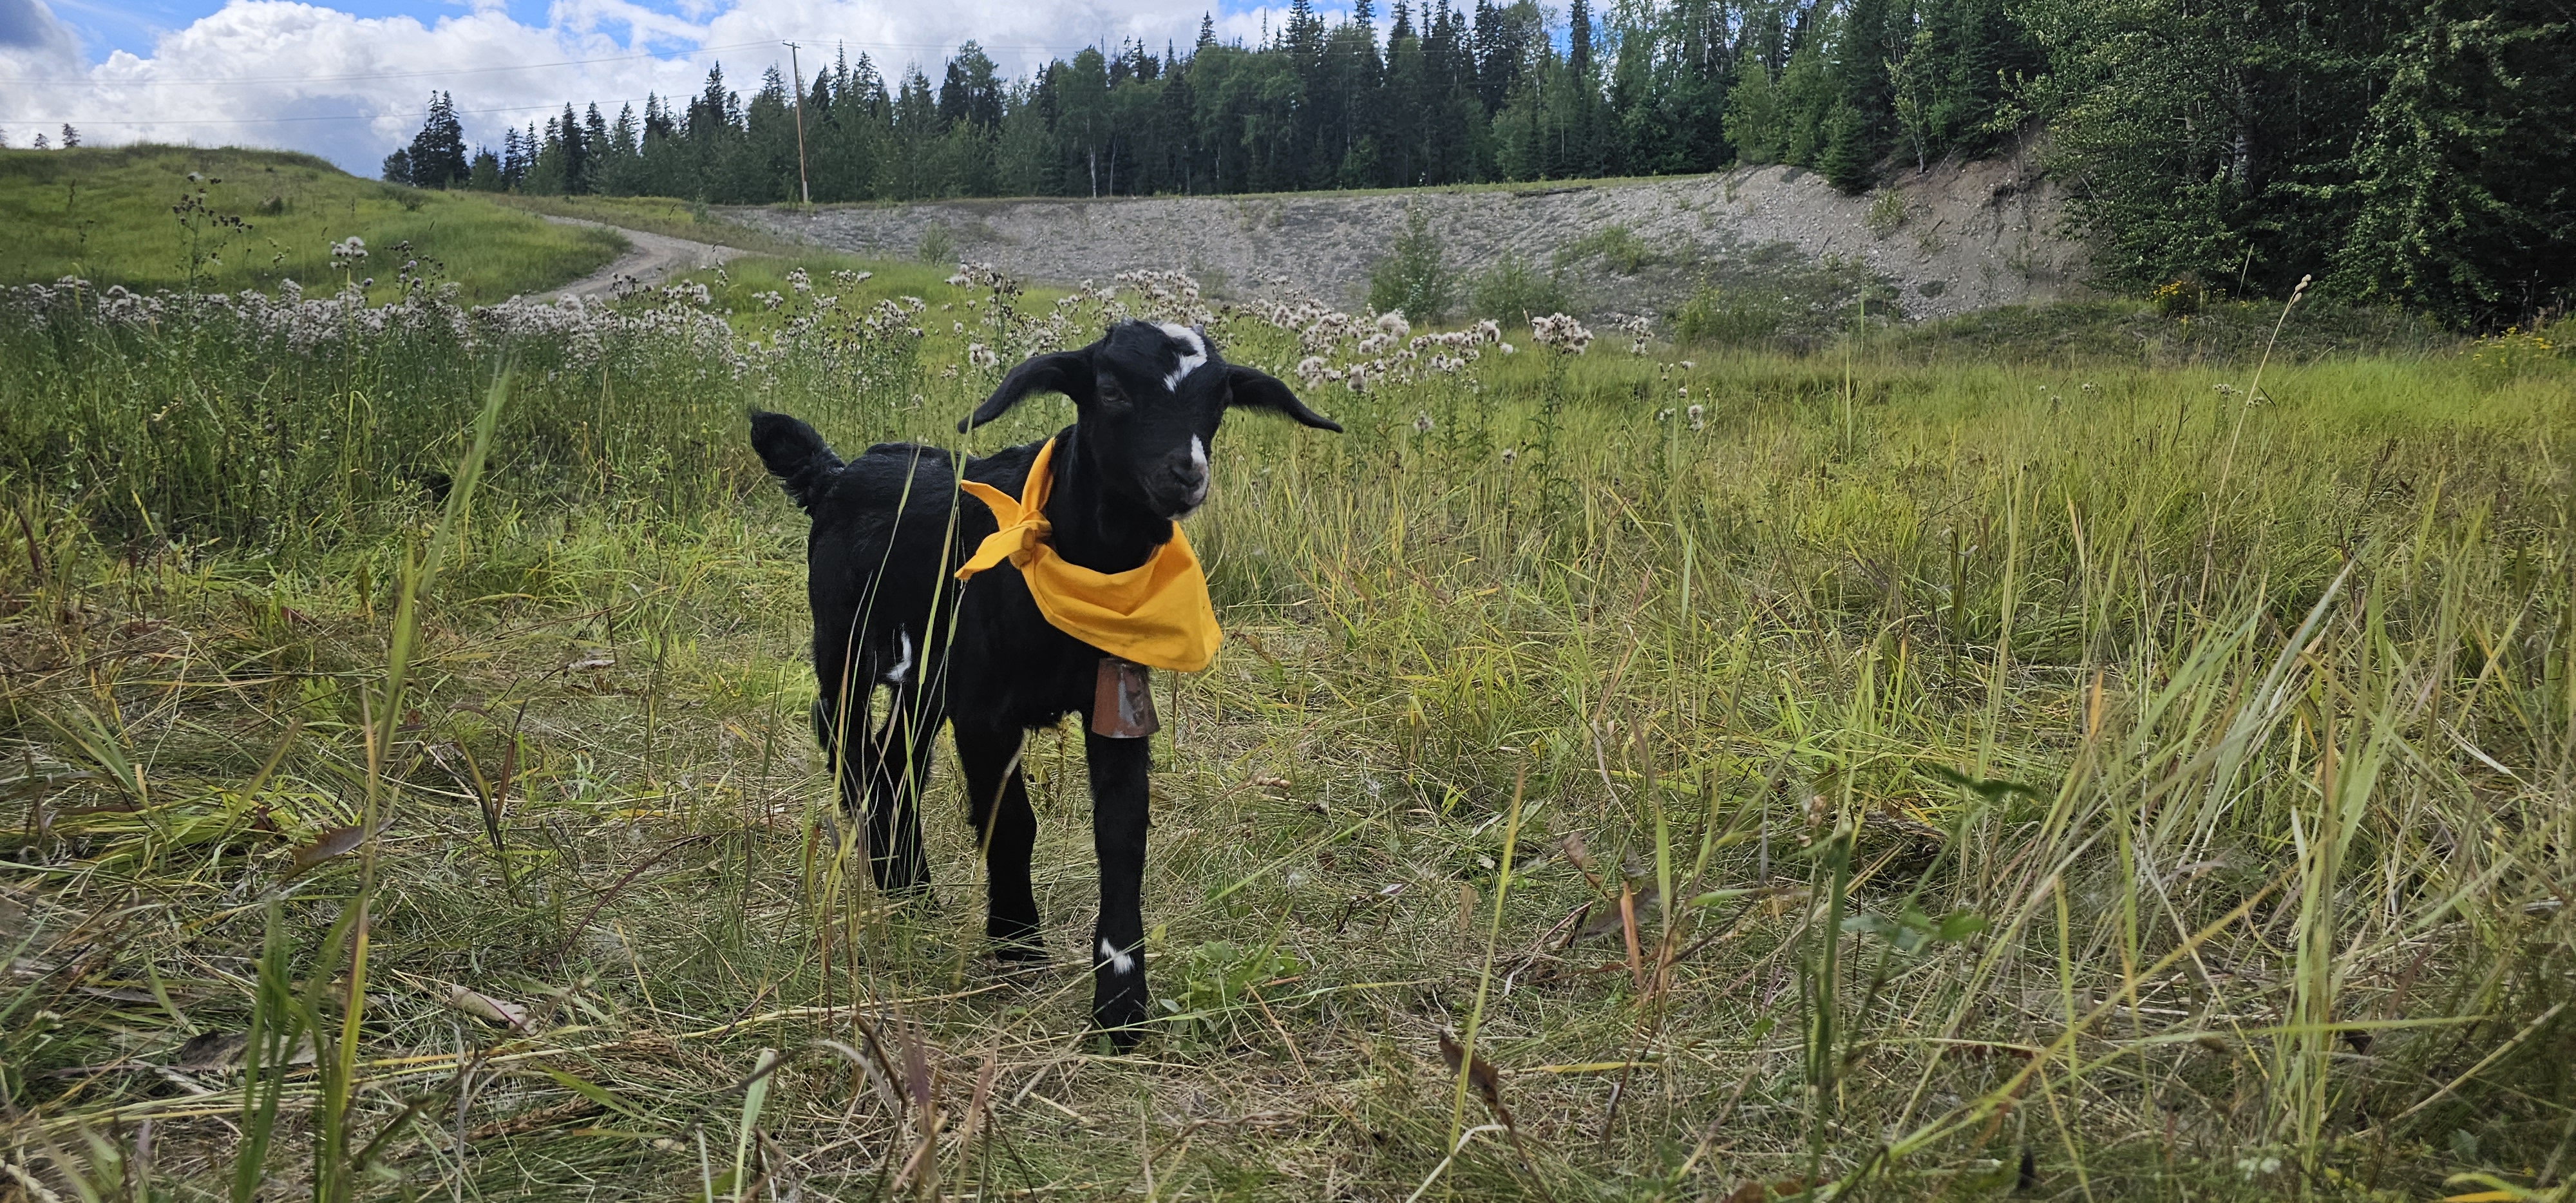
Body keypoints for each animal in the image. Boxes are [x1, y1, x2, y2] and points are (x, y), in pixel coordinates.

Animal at [749, 320, 1340, 1045]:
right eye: (1110, 389)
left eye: (1221, 402)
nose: (1186, 474)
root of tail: (833, 472)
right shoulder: (984, 711)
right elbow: (1012, 820)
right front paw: (1016, 941)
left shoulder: (1115, 703)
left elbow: (1122, 832)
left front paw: (1121, 1001)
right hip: (846, 644)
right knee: (843, 737)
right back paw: (897, 877)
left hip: (928, 677)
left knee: (893, 759)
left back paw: (910, 888)